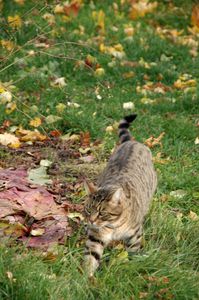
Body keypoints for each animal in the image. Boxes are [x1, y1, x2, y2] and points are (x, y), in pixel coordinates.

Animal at [83, 114, 157, 276]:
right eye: (88, 210)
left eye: (102, 213)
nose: (91, 221)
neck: (113, 226)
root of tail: (132, 142)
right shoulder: (96, 237)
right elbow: (91, 257)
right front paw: (86, 276)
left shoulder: (135, 235)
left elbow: (134, 252)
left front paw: (132, 266)